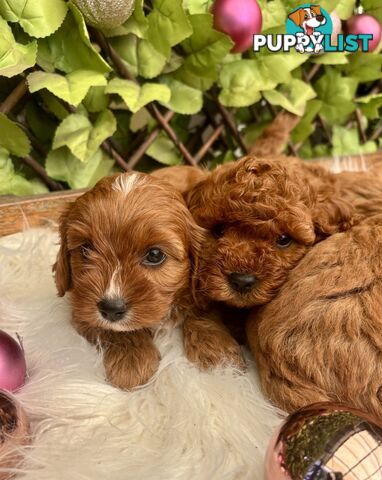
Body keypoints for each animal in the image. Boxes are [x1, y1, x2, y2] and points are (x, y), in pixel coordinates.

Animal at [53, 172, 206, 390]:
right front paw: (132, 363)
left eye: (155, 254)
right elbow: (119, 330)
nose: (110, 308)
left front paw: (218, 352)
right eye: (86, 249)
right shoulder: (80, 310)